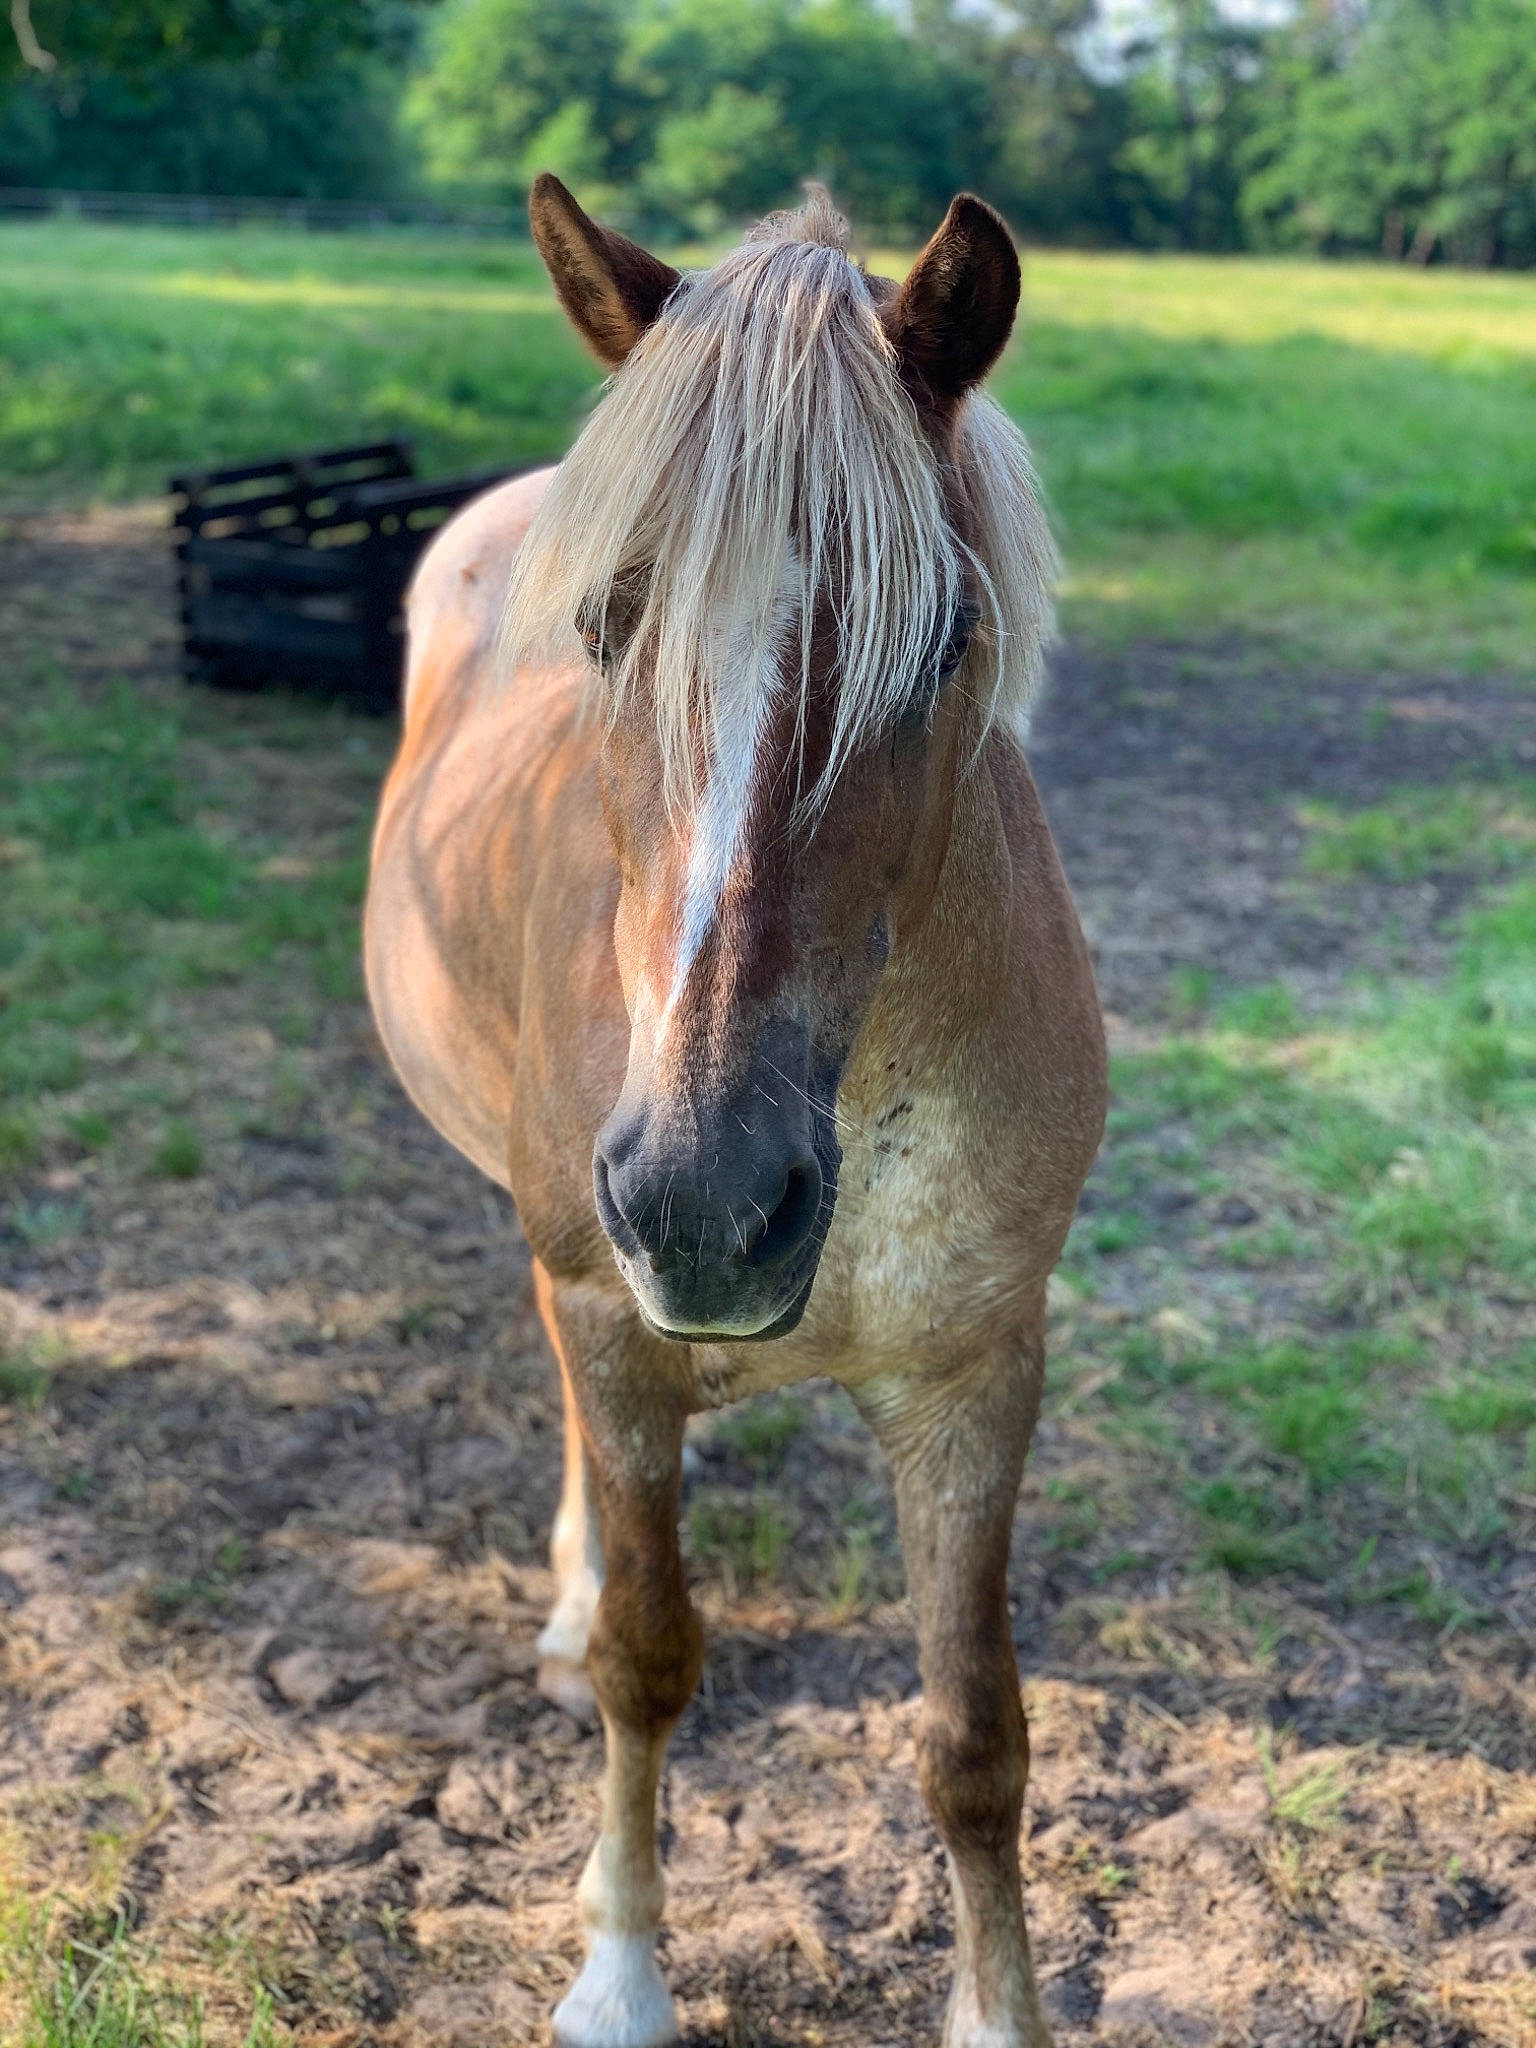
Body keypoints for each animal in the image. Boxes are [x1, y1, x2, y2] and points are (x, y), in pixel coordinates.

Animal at [365, 174, 1106, 2048]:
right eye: (603, 625)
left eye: (945, 636)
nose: (709, 1202)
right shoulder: (614, 1315)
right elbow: (650, 1656)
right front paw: (620, 1975)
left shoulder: (978, 1369)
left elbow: (975, 1738)